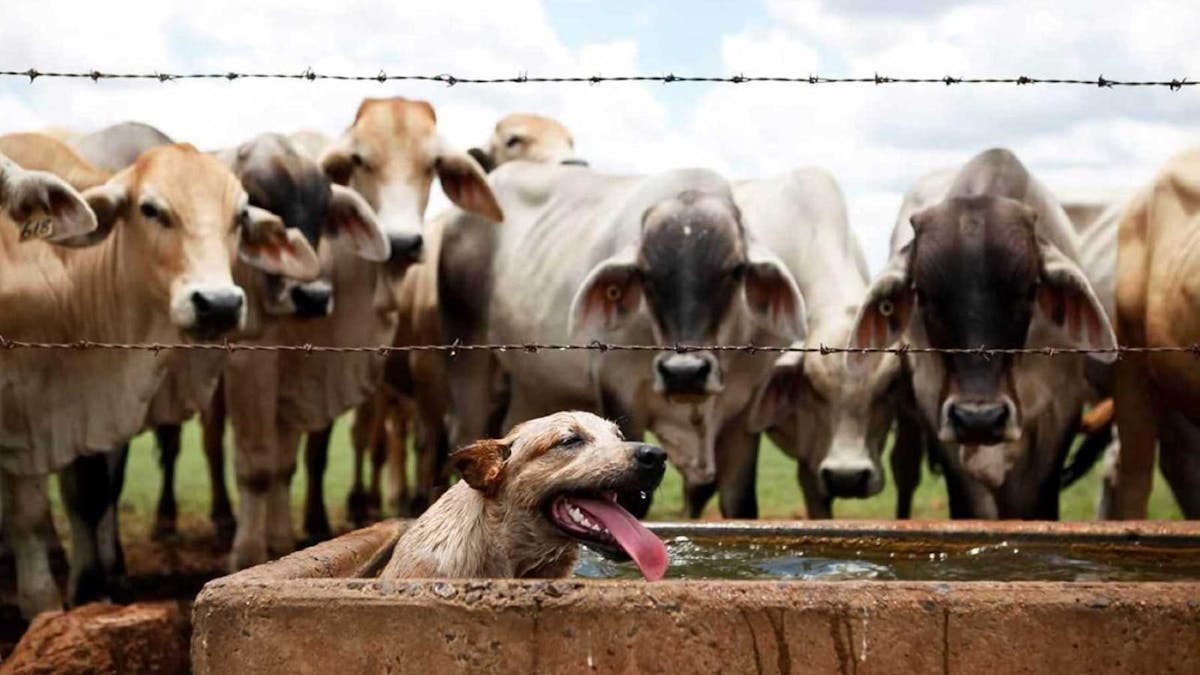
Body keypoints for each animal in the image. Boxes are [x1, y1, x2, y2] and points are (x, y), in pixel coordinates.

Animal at [0, 138, 319, 619]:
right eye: (150, 210)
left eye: (240, 217)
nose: (219, 304)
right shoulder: (24, 417)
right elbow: (33, 515)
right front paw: (47, 606)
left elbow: (81, 496)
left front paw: (84, 590)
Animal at [221, 97, 502, 569]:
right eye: (359, 160)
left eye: (432, 165)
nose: (403, 242)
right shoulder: (254, 361)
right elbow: (260, 464)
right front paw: (249, 555)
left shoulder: (308, 375)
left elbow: (287, 462)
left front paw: (282, 540)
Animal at [438, 161, 806, 518]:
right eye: (646, 275)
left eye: (734, 270)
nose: (684, 373)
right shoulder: (621, 394)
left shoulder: (744, 419)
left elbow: (740, 503)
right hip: (471, 360)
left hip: (536, 387)